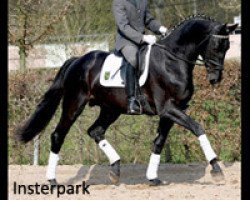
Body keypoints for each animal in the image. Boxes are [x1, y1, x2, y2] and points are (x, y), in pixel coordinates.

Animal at [16, 15, 238, 186]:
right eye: (216, 45)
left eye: (227, 47)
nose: (215, 79)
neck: (172, 60)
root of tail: (77, 60)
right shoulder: (168, 109)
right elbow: (197, 128)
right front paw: (217, 169)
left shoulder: (173, 111)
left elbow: (159, 142)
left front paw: (152, 177)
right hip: (74, 104)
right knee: (58, 135)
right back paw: (52, 180)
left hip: (110, 109)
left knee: (95, 131)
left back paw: (115, 170)